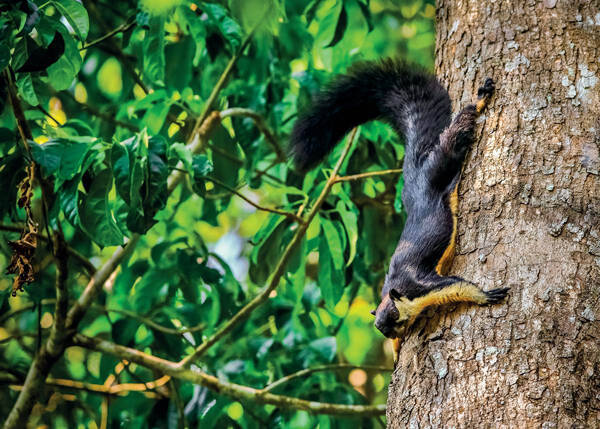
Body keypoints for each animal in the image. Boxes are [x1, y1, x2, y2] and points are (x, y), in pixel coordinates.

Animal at [288, 58, 508, 362]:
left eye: (393, 315)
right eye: (380, 327)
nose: (391, 332)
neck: (396, 292)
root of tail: (415, 177)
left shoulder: (422, 286)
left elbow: (457, 286)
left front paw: (484, 295)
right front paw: (394, 351)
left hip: (440, 165)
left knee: (454, 137)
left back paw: (480, 99)